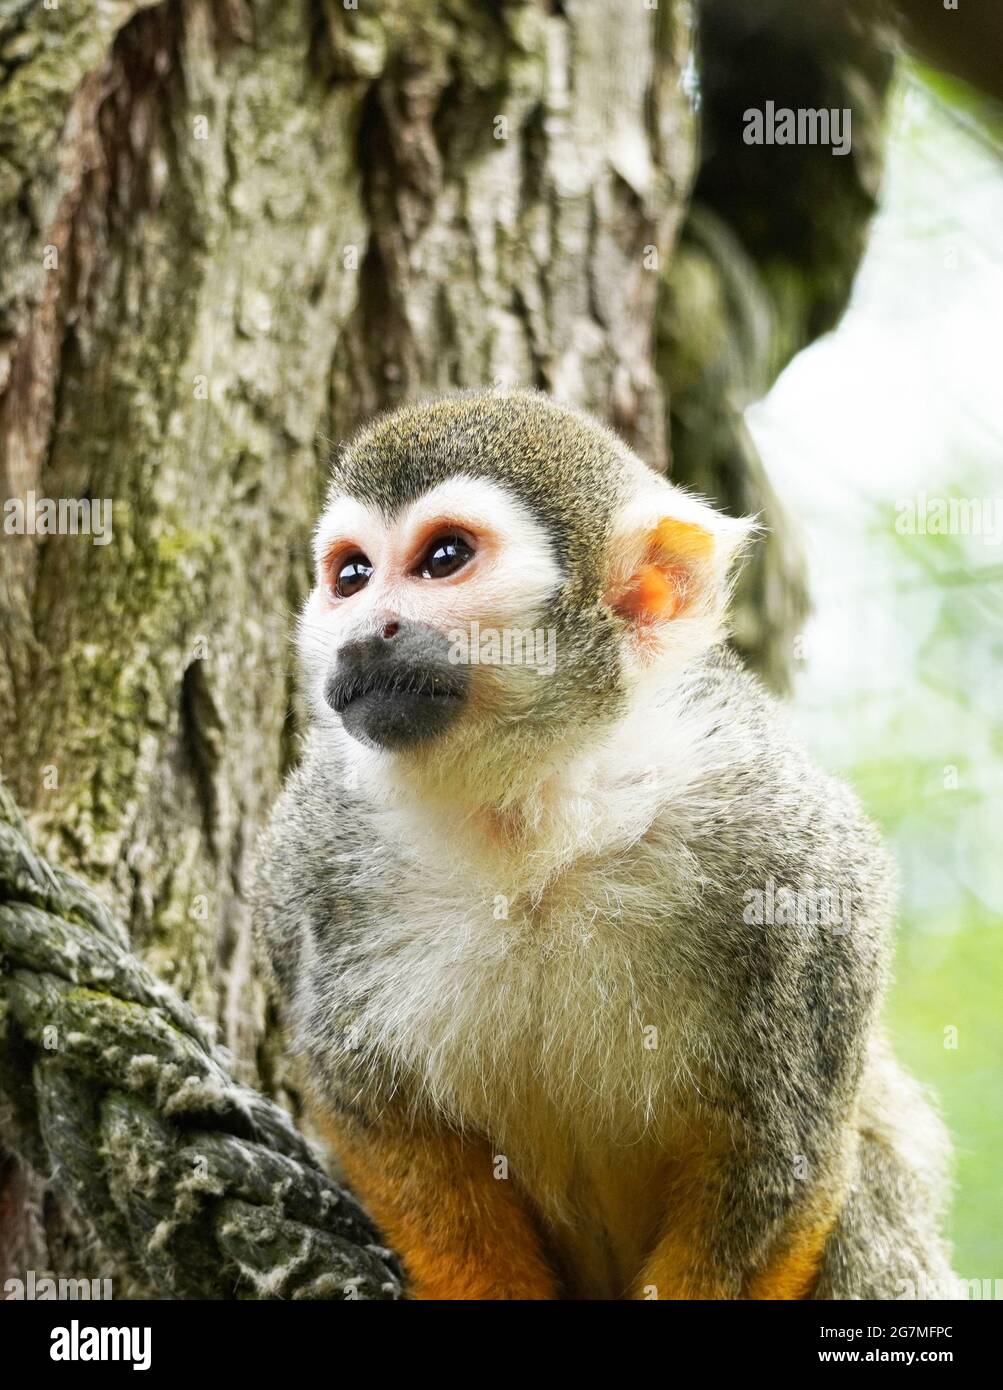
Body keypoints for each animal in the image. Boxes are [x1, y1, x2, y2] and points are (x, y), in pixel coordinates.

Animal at [251, 391, 955, 1301]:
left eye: (443, 558)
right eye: (350, 576)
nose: (367, 632)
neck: (536, 818)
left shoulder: (798, 867)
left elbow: (783, 1149)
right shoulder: (310, 856)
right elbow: (377, 1115)